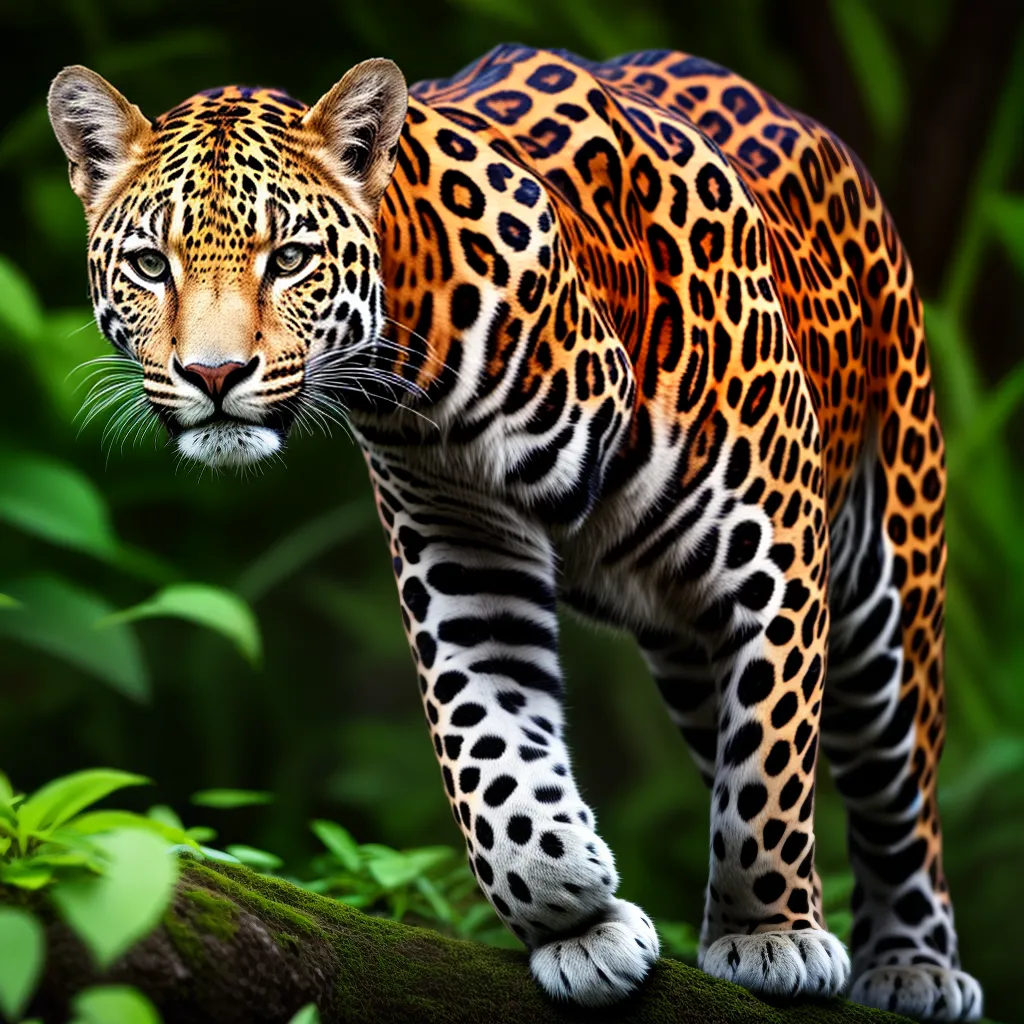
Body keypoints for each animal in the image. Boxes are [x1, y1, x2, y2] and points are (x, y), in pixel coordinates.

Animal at [48, 43, 983, 1020]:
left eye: (292, 257)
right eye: (151, 265)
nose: (214, 374)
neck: (421, 360)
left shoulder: (773, 551)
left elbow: (768, 766)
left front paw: (771, 936)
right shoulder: (467, 556)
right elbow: (485, 750)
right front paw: (572, 901)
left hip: (892, 579)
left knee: (896, 788)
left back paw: (914, 964)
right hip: (684, 640)